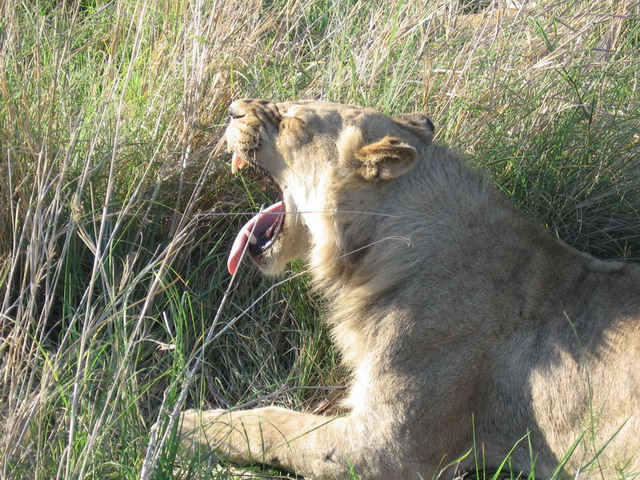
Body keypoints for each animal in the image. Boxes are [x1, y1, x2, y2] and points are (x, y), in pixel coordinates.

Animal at [179, 99, 640, 478]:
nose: (233, 109)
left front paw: (183, 423)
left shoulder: (388, 448)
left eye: (296, 120)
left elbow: (275, 423)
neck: (370, 258)